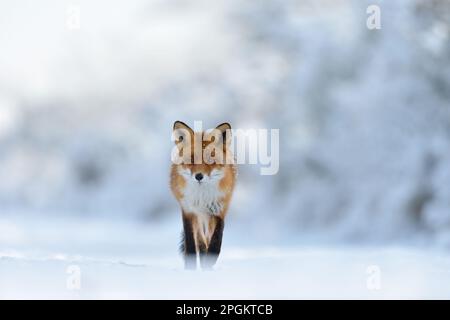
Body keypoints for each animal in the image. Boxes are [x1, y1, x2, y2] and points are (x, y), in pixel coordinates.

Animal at [171, 121, 237, 268]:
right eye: (191, 159)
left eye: (210, 159)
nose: (199, 176)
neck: (202, 198)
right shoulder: (188, 211)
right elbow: (191, 244)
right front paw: (190, 268)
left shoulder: (219, 210)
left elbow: (216, 240)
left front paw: (209, 262)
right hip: (199, 218)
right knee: (200, 243)